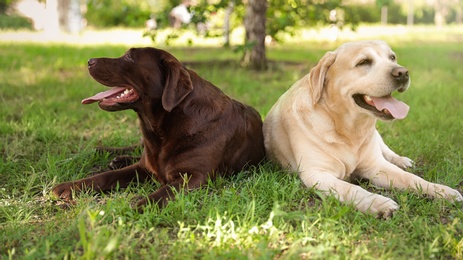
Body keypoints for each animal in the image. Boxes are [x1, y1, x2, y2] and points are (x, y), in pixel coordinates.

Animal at [51, 46, 264, 209]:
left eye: (129, 57)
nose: (89, 60)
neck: (161, 129)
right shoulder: (142, 167)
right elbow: (105, 176)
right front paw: (71, 186)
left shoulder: (193, 177)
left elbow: (161, 193)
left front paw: (139, 207)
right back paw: (108, 153)